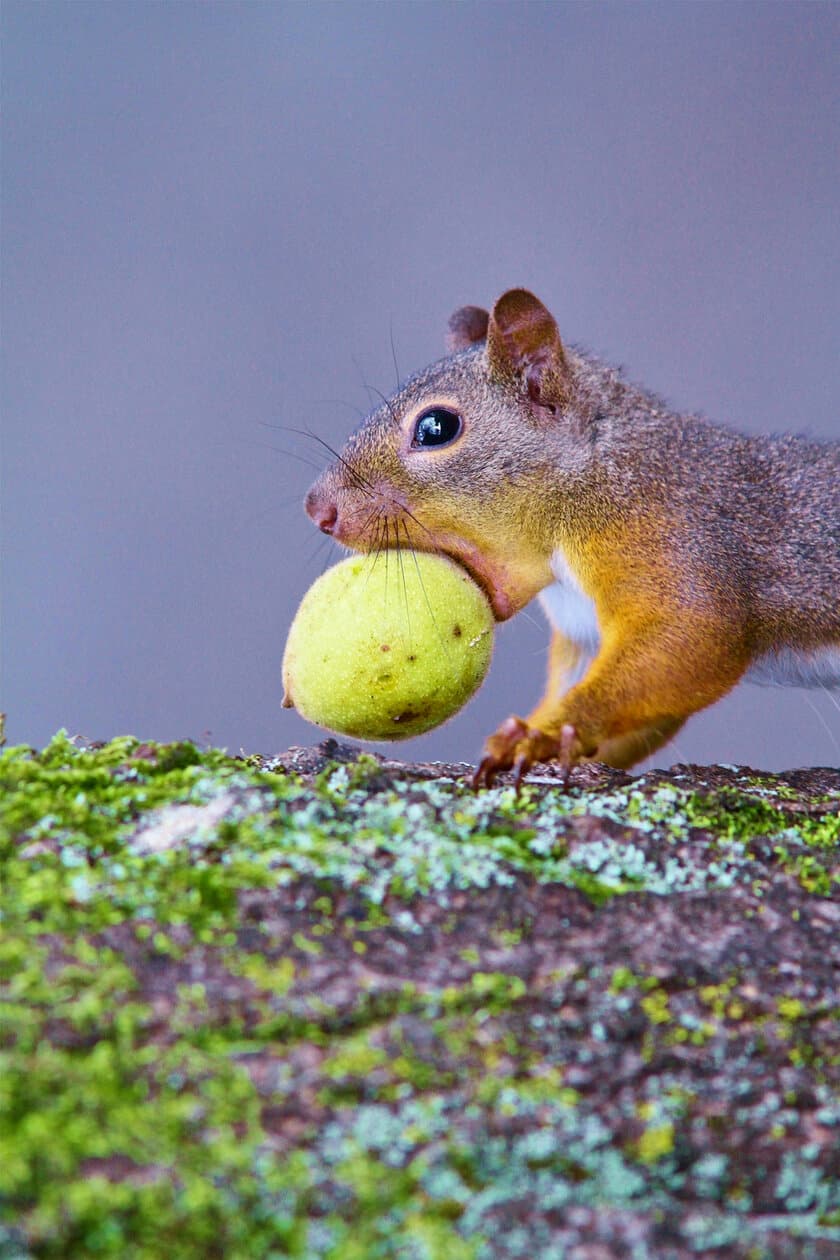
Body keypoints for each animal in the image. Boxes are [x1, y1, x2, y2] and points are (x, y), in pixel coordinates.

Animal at [302, 289, 840, 781]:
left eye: (437, 427)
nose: (318, 509)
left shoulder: (676, 541)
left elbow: (691, 642)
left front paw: (538, 735)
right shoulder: (583, 633)